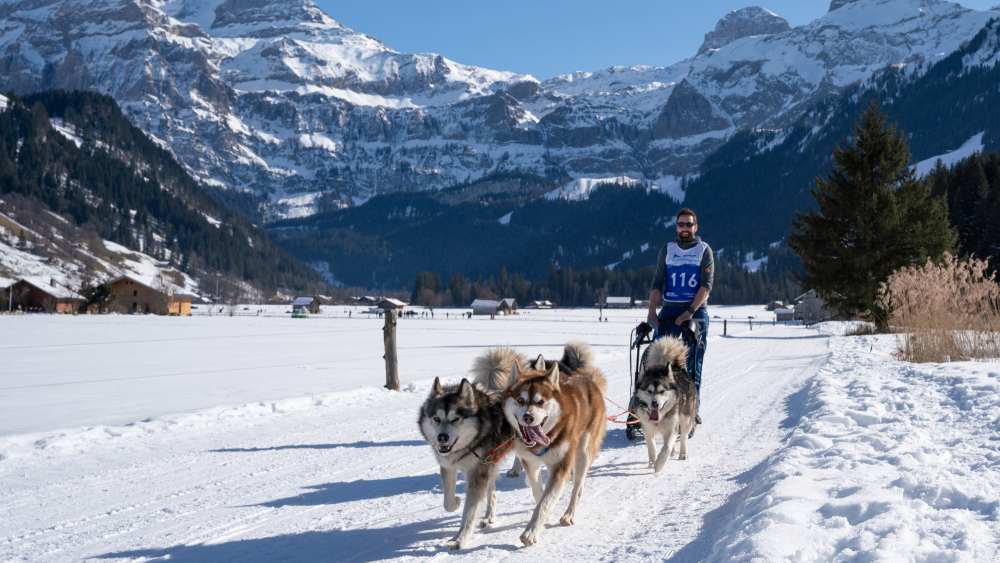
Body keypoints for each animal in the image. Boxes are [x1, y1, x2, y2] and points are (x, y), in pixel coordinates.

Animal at [504, 342, 604, 548]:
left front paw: (531, 532)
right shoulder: (530, 463)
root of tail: (587, 380)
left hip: (583, 453)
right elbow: (538, 492)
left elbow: (545, 503)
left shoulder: (561, 468)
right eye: (520, 400)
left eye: (541, 401)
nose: (528, 417)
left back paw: (569, 515)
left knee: (578, 487)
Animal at [636, 338, 700, 474]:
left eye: (662, 391)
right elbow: (652, 448)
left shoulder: (672, 427)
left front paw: (659, 464)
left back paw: (683, 453)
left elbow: (667, 446)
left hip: (686, 419)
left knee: (684, 436)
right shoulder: (647, 428)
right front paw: (652, 463)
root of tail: (678, 368)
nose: (655, 403)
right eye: (649, 391)